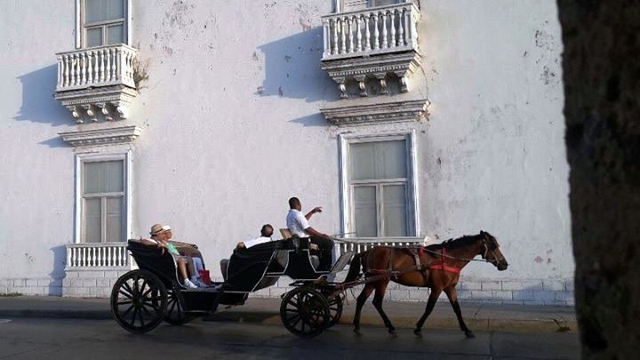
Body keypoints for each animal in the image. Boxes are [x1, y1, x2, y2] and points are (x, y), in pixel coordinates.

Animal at [344, 231, 510, 338]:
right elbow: (429, 308)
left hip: (372, 281)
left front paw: (467, 330)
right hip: (382, 280)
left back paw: (357, 326)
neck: (447, 259)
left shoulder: (450, 288)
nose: (504, 264)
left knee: (361, 299)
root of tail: (366, 252)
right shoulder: (437, 287)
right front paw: (418, 328)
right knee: (377, 302)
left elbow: (457, 309)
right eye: (493, 246)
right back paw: (390, 327)